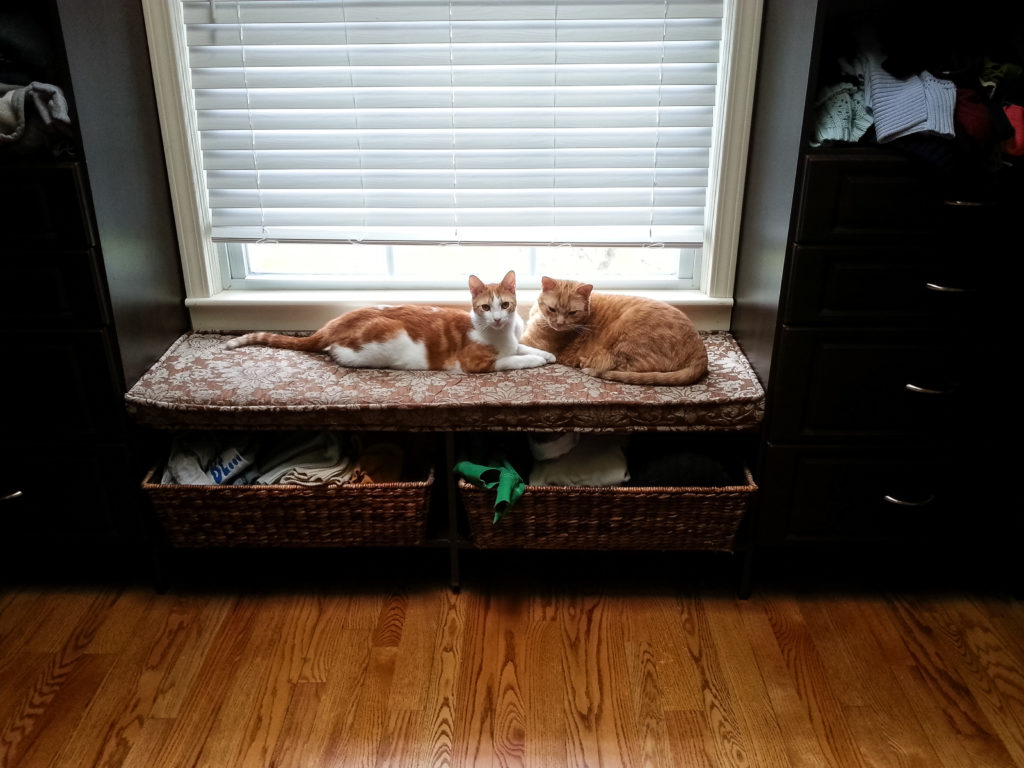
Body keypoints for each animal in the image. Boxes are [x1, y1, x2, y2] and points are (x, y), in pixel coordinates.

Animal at [227, 272, 557, 374]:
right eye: (486, 307)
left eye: (505, 304)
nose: (498, 318)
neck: (502, 334)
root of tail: (332, 324)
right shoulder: (472, 364)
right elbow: (511, 360)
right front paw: (534, 361)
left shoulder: (512, 341)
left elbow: (522, 348)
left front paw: (546, 354)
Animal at [524, 274, 708, 387]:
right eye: (552, 309)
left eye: (572, 312)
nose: (560, 323)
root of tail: (701, 352)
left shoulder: (531, 342)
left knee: (623, 367)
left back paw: (587, 362)